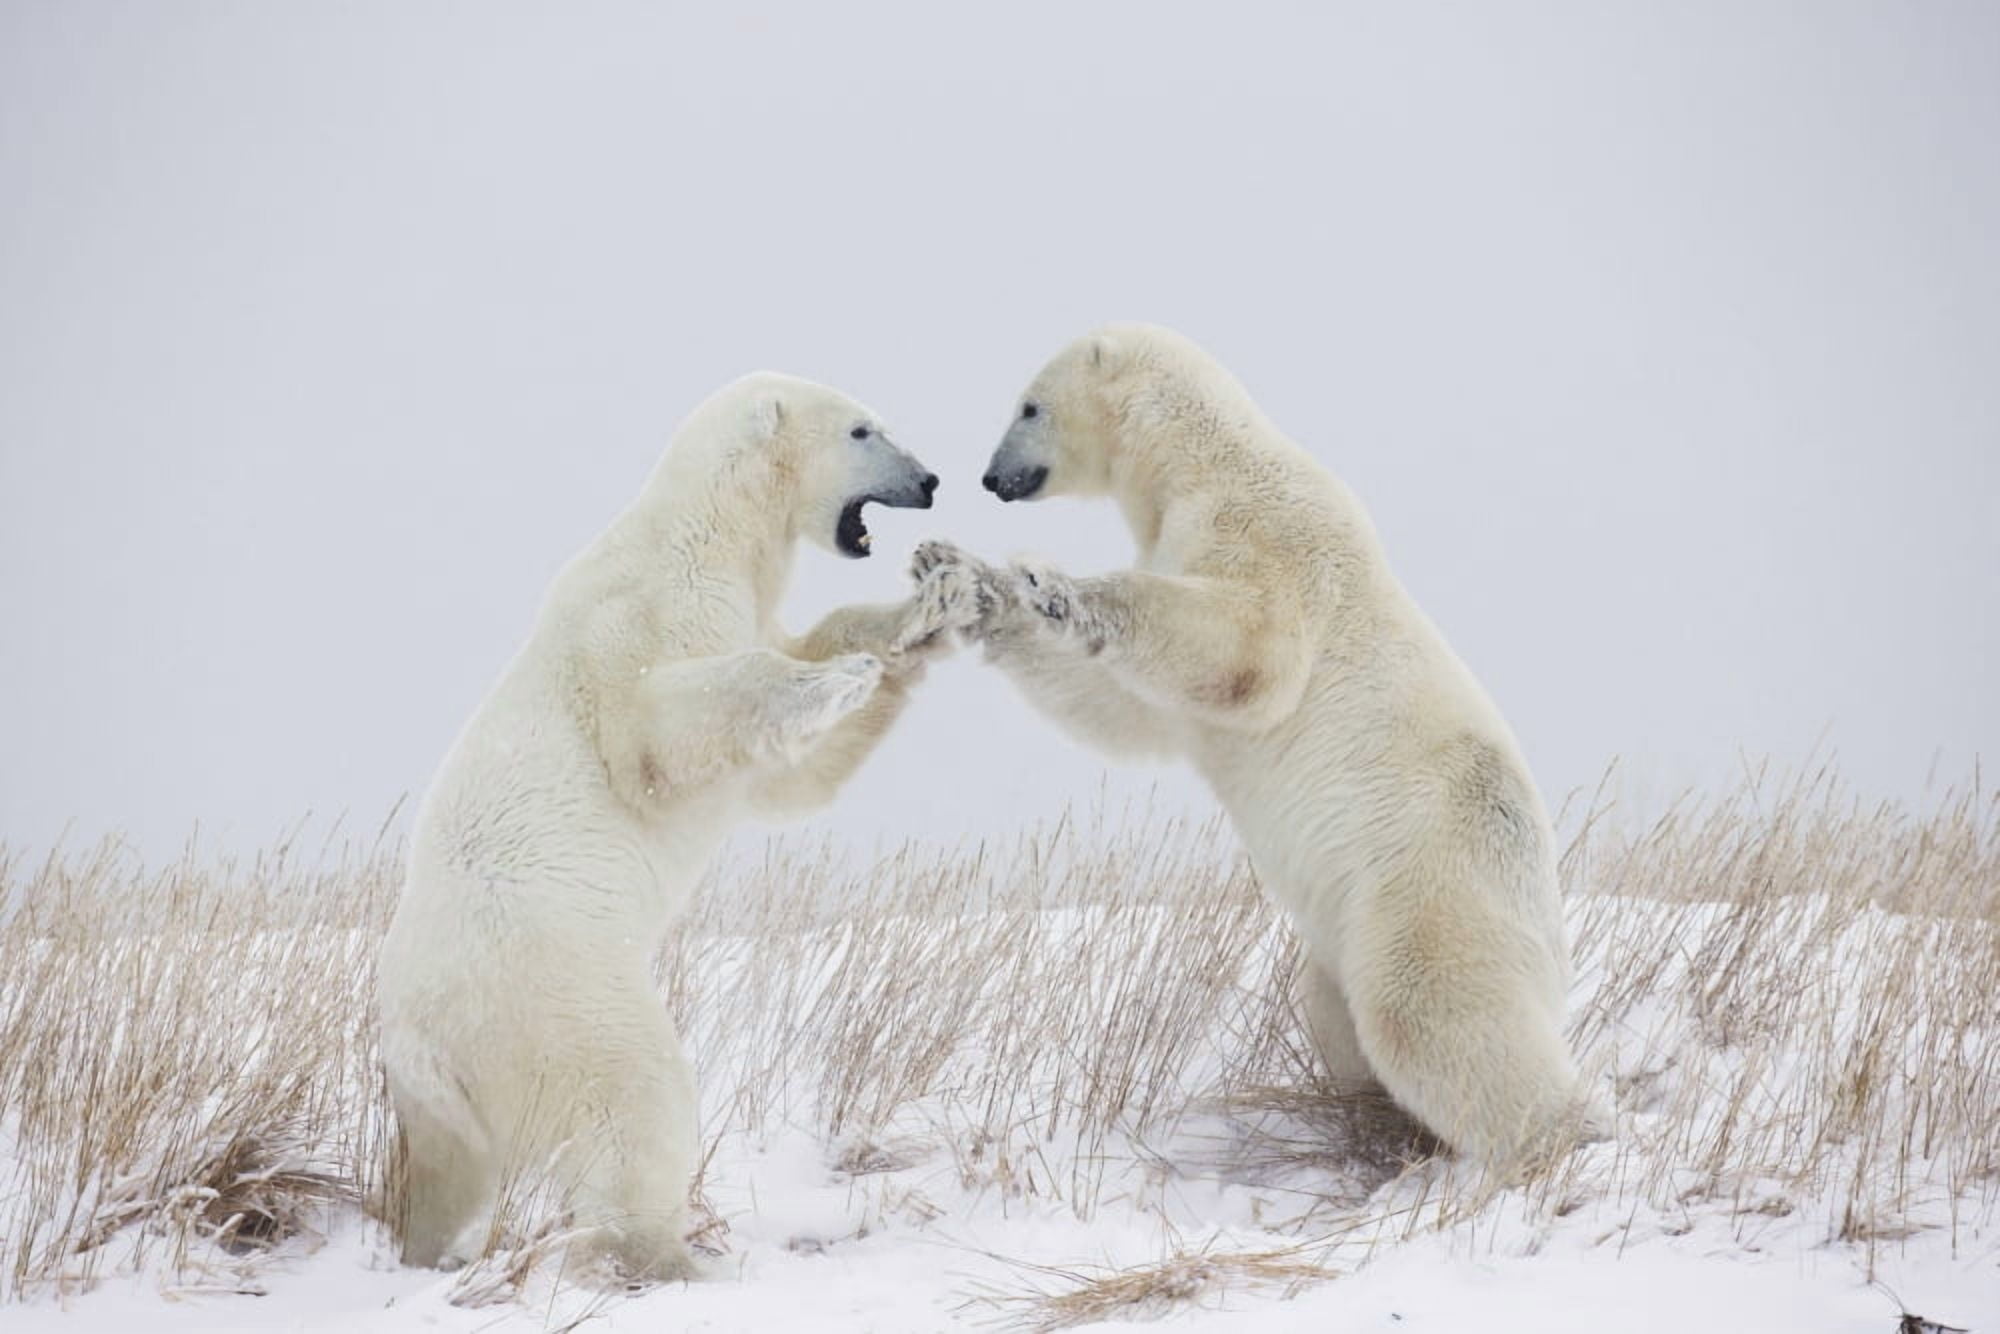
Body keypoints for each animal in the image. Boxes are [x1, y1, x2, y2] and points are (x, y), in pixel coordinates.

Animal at [377, 371, 967, 1282]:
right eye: (864, 430)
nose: (932, 480)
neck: (709, 536)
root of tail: (414, 1043)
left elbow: (787, 773)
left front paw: (930, 604)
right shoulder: (641, 621)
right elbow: (660, 733)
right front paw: (839, 676)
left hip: (456, 1098)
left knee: (451, 1175)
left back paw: (430, 1247)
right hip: (555, 992)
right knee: (636, 1100)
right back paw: (675, 1257)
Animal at [915, 324, 1605, 1169]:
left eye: (1029, 406)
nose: (991, 477)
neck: (1201, 462)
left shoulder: (1268, 530)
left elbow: (1249, 647)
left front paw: (1051, 583)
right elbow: (1127, 709)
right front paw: (962, 578)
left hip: (1430, 887)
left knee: (1432, 1018)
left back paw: (1563, 1136)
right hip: (1347, 932)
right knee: (1340, 1017)